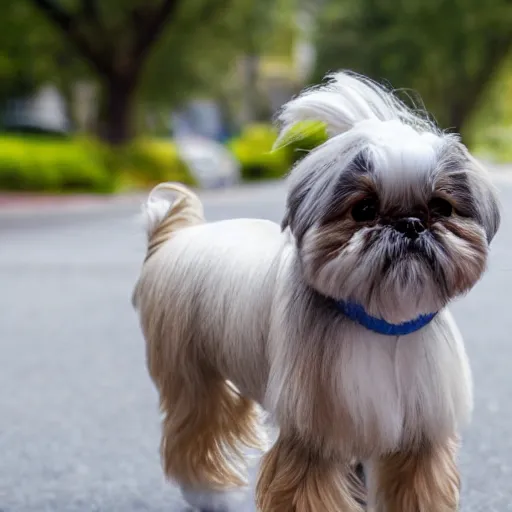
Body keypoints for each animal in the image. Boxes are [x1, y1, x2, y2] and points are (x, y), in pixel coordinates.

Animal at [132, 73, 500, 512]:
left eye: (442, 207)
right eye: (364, 209)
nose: (410, 223)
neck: (381, 322)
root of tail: (173, 238)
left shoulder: (419, 435)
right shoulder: (314, 436)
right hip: (194, 375)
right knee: (196, 429)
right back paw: (209, 493)